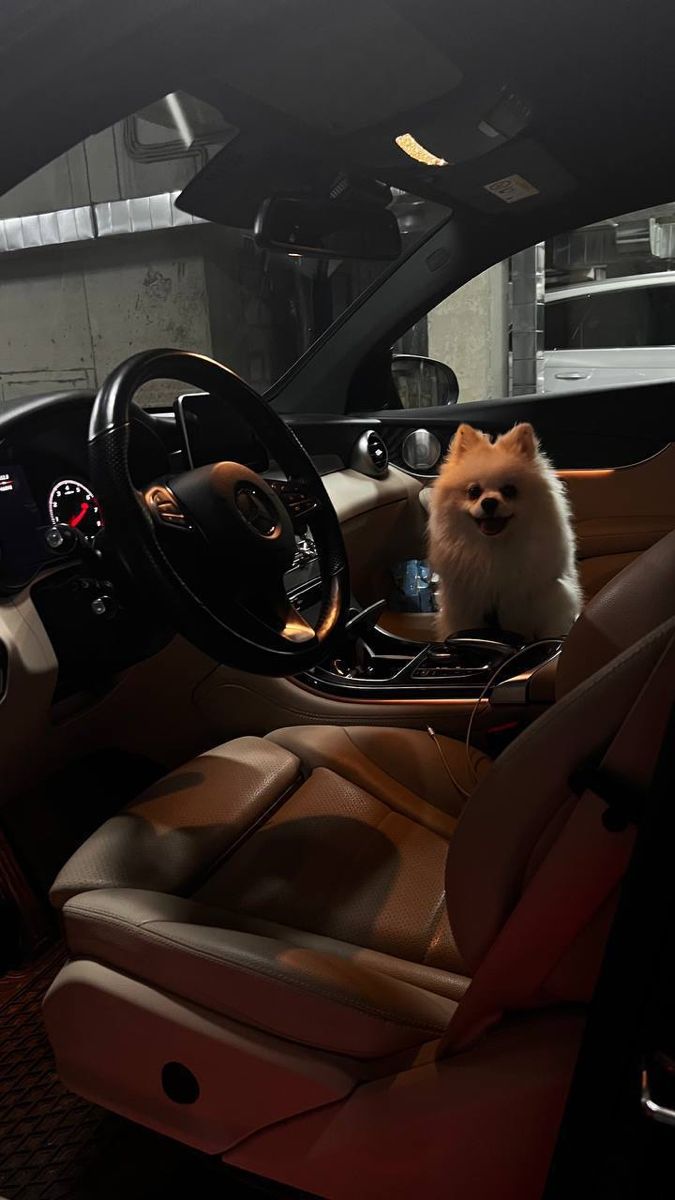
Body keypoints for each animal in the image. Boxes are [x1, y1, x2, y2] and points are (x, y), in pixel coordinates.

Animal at [425, 424, 578, 643]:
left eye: (509, 490)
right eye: (474, 491)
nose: (489, 502)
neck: (493, 548)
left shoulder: (536, 604)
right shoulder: (466, 610)